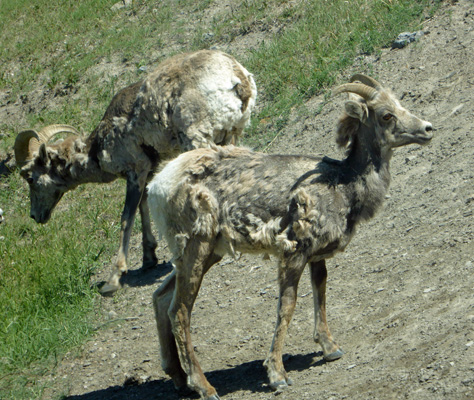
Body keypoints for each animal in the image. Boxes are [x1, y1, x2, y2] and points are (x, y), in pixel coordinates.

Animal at [14, 49, 258, 294]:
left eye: (30, 178)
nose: (35, 216)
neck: (98, 147)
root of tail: (236, 77)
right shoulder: (147, 172)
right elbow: (143, 206)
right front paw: (148, 258)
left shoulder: (135, 171)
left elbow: (126, 218)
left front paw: (113, 279)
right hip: (230, 136)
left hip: (199, 140)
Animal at [148, 74, 434, 396]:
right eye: (386, 115)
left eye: (400, 104)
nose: (427, 129)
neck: (344, 184)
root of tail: (157, 186)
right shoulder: (293, 253)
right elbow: (287, 306)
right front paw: (277, 375)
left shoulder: (316, 257)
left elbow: (320, 292)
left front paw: (330, 349)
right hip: (196, 248)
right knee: (179, 311)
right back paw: (205, 388)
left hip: (205, 254)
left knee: (161, 298)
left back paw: (179, 380)